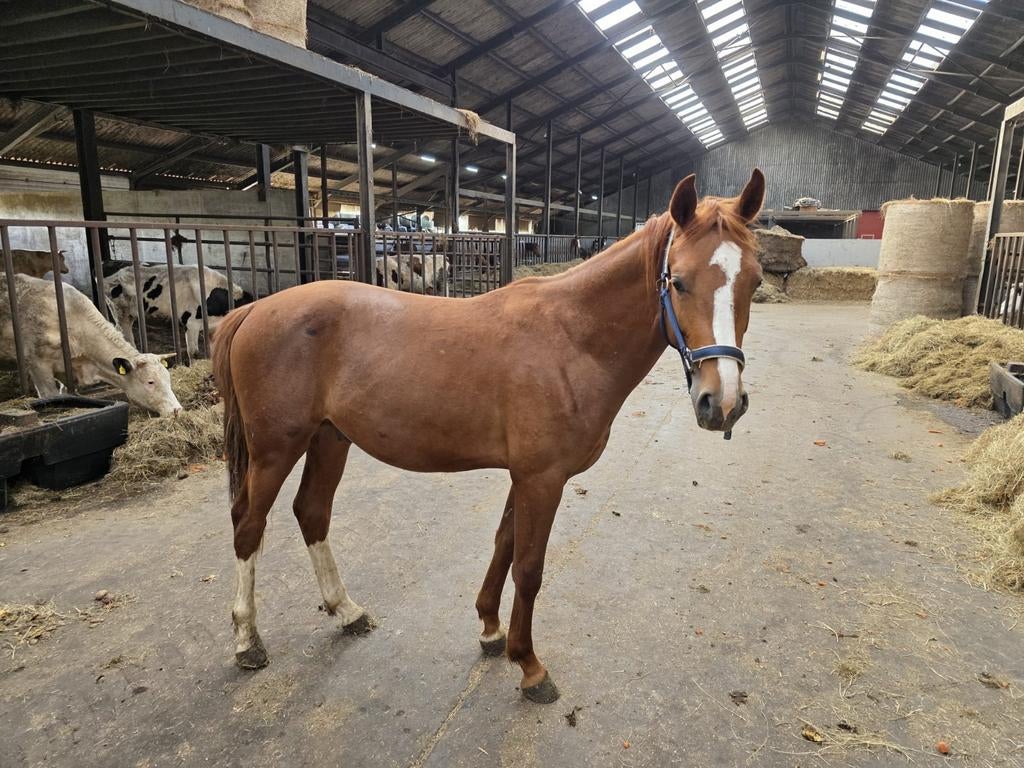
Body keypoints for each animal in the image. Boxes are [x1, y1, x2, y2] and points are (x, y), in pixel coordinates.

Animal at [212, 169, 766, 704]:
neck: (571, 339)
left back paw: (346, 611)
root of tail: (254, 311)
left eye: (754, 282)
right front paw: (529, 665)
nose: (722, 402)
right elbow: (529, 567)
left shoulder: (525, 475)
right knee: (248, 525)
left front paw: (491, 629)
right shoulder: (542, 479)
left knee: (312, 513)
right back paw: (247, 640)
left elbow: (504, 545)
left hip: (330, 439)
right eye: (679, 282)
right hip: (275, 449)